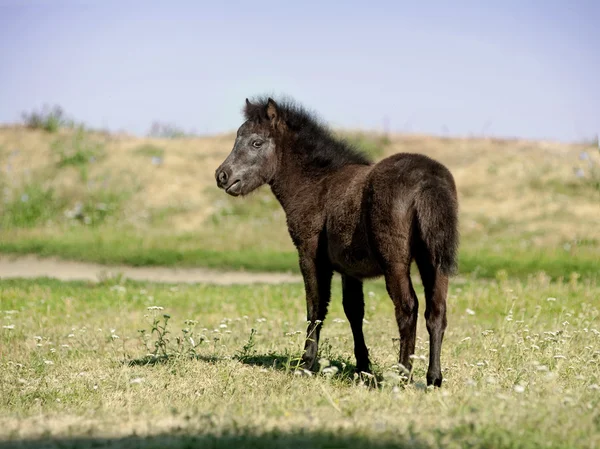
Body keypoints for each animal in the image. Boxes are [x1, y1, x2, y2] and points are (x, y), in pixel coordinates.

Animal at [216, 97, 460, 384]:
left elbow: (316, 307)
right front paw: (363, 367)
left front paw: (306, 362)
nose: (222, 175)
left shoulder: (310, 255)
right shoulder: (349, 269)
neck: (317, 183)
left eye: (256, 142)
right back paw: (433, 378)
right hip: (434, 260)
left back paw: (401, 375)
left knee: (407, 307)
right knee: (437, 311)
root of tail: (427, 180)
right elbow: (354, 311)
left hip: (395, 261)